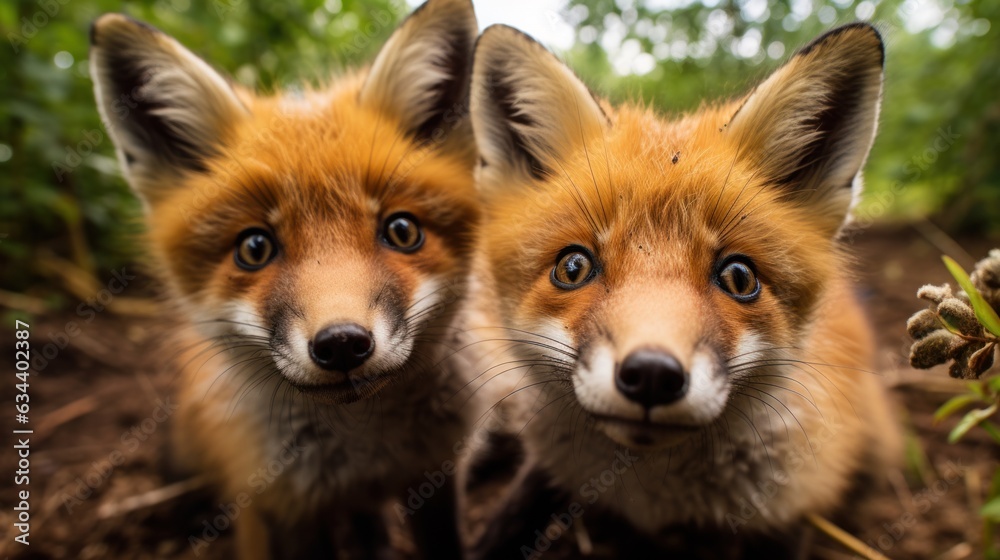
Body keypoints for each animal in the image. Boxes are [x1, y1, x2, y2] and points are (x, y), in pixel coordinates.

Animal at [89, 0, 480, 558]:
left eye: (402, 231)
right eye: (254, 248)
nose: (342, 344)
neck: (366, 452)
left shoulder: (437, 478)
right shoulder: (277, 511)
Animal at [466, 22, 901, 558]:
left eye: (739, 278)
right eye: (573, 267)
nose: (652, 375)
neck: (655, 493)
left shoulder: (793, 510)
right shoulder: (551, 468)